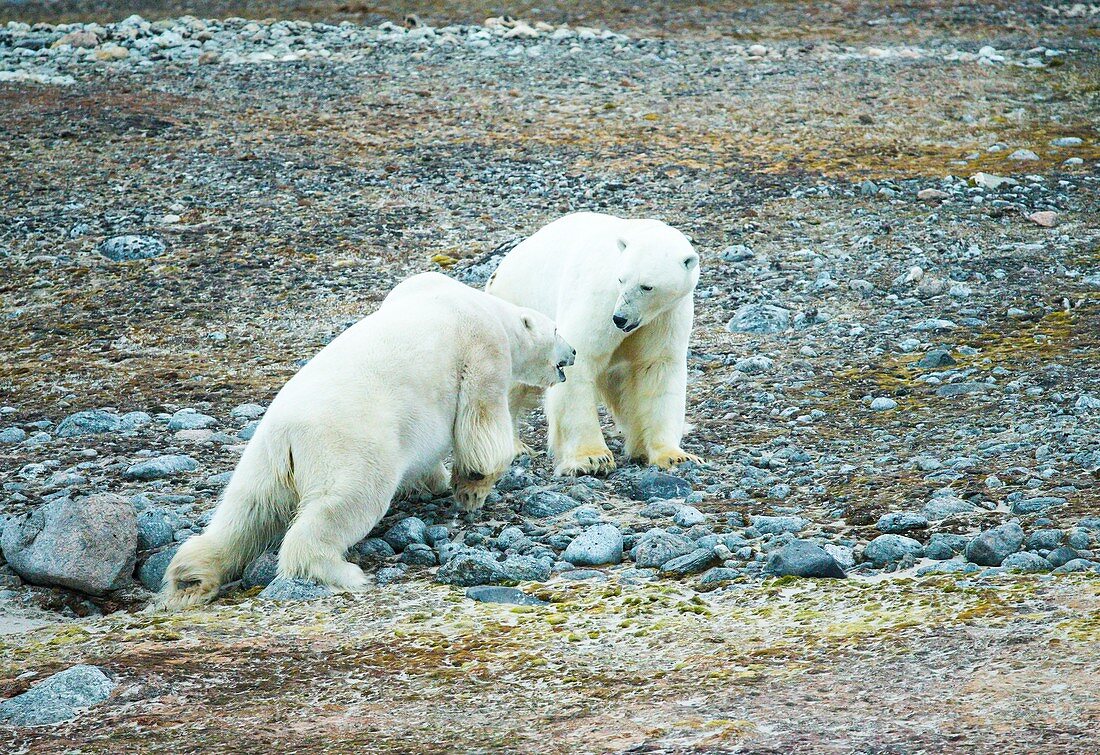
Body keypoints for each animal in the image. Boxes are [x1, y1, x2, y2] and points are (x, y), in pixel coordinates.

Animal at [159, 275, 580, 611]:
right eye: (557, 329)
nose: (574, 351)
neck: (486, 307)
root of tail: (288, 435)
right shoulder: (482, 350)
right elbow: (481, 427)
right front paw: (472, 489)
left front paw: (435, 482)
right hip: (350, 447)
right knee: (345, 504)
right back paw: (340, 571)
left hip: (262, 459)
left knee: (245, 512)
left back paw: (192, 576)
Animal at [486, 210, 699, 475]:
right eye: (621, 279)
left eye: (647, 286)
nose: (620, 318)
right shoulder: (600, 299)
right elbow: (580, 359)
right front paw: (592, 459)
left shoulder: (667, 315)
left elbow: (658, 368)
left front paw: (674, 456)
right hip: (518, 309)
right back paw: (514, 447)